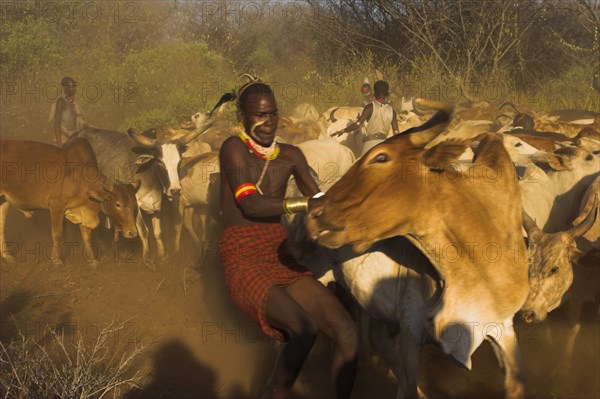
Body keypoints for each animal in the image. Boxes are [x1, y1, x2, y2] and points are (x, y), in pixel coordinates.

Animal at [0, 139, 138, 268]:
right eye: (118, 204)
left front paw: (93, 260)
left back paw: (7, 256)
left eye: (134, 205)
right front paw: (56, 261)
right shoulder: (56, 207)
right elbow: (57, 234)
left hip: (3, 201)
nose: (133, 232)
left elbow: (86, 236)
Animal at [308, 105, 528, 396]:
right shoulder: (411, 328)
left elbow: (517, 384)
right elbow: (408, 385)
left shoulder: (502, 326)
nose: (314, 212)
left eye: (380, 157)